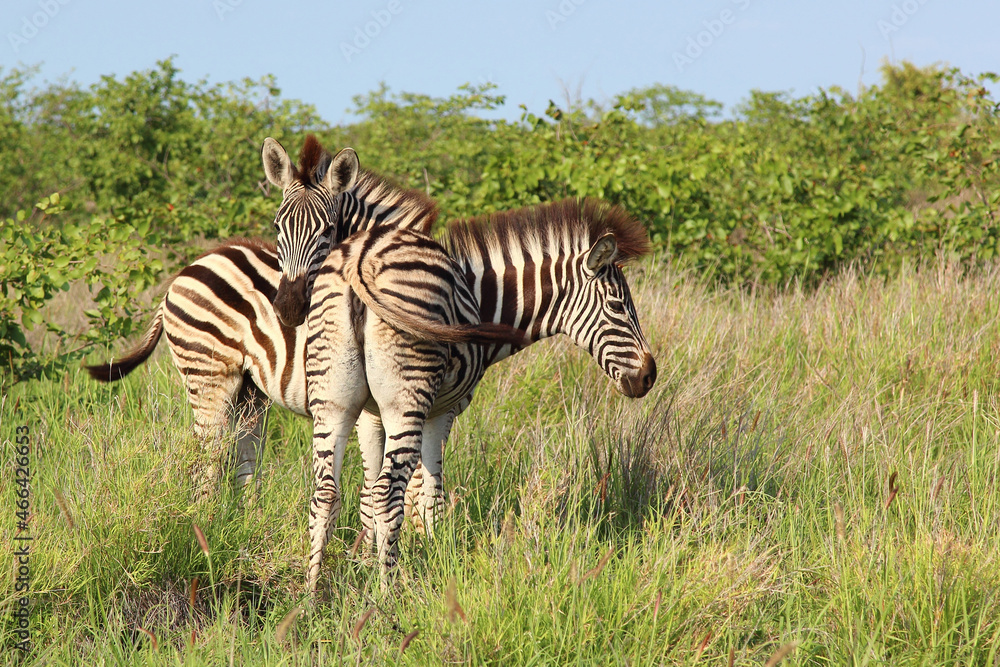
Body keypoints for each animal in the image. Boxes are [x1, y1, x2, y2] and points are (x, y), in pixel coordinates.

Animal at [85, 135, 438, 491]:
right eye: (277, 226)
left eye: (328, 230)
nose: (288, 307)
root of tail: (187, 270)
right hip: (208, 374)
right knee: (206, 462)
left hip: (248, 389)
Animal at [301, 197, 656, 589]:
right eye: (617, 306)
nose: (649, 375)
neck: (485, 300)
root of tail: (359, 257)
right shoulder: (441, 411)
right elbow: (428, 493)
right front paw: (434, 557)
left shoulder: (370, 415)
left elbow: (368, 494)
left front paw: (366, 561)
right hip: (406, 399)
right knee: (387, 493)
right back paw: (386, 593)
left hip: (332, 399)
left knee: (325, 494)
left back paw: (312, 592)